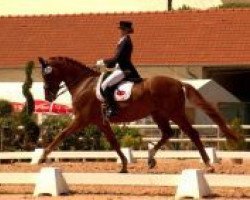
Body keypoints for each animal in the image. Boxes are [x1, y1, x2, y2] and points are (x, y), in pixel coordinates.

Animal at [37, 56, 238, 173]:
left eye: (47, 75)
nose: (48, 96)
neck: (83, 84)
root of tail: (178, 82)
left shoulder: (81, 119)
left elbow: (61, 134)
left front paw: (42, 157)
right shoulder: (100, 122)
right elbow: (113, 142)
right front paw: (124, 165)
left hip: (175, 113)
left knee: (192, 134)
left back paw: (208, 164)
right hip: (158, 114)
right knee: (167, 133)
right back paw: (150, 160)